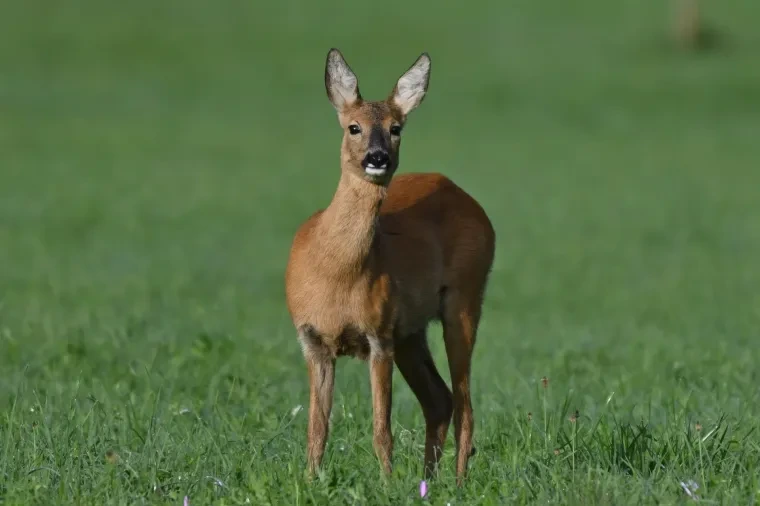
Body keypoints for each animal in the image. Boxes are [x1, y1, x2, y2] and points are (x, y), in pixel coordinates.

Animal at [284, 48, 495, 485]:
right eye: (354, 127)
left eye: (396, 128)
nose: (377, 158)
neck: (335, 272)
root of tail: (468, 200)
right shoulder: (312, 340)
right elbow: (316, 429)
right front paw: (310, 482)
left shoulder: (378, 336)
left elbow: (381, 429)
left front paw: (385, 484)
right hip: (411, 332)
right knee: (440, 399)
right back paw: (428, 479)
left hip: (464, 298)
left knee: (464, 403)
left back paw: (457, 483)